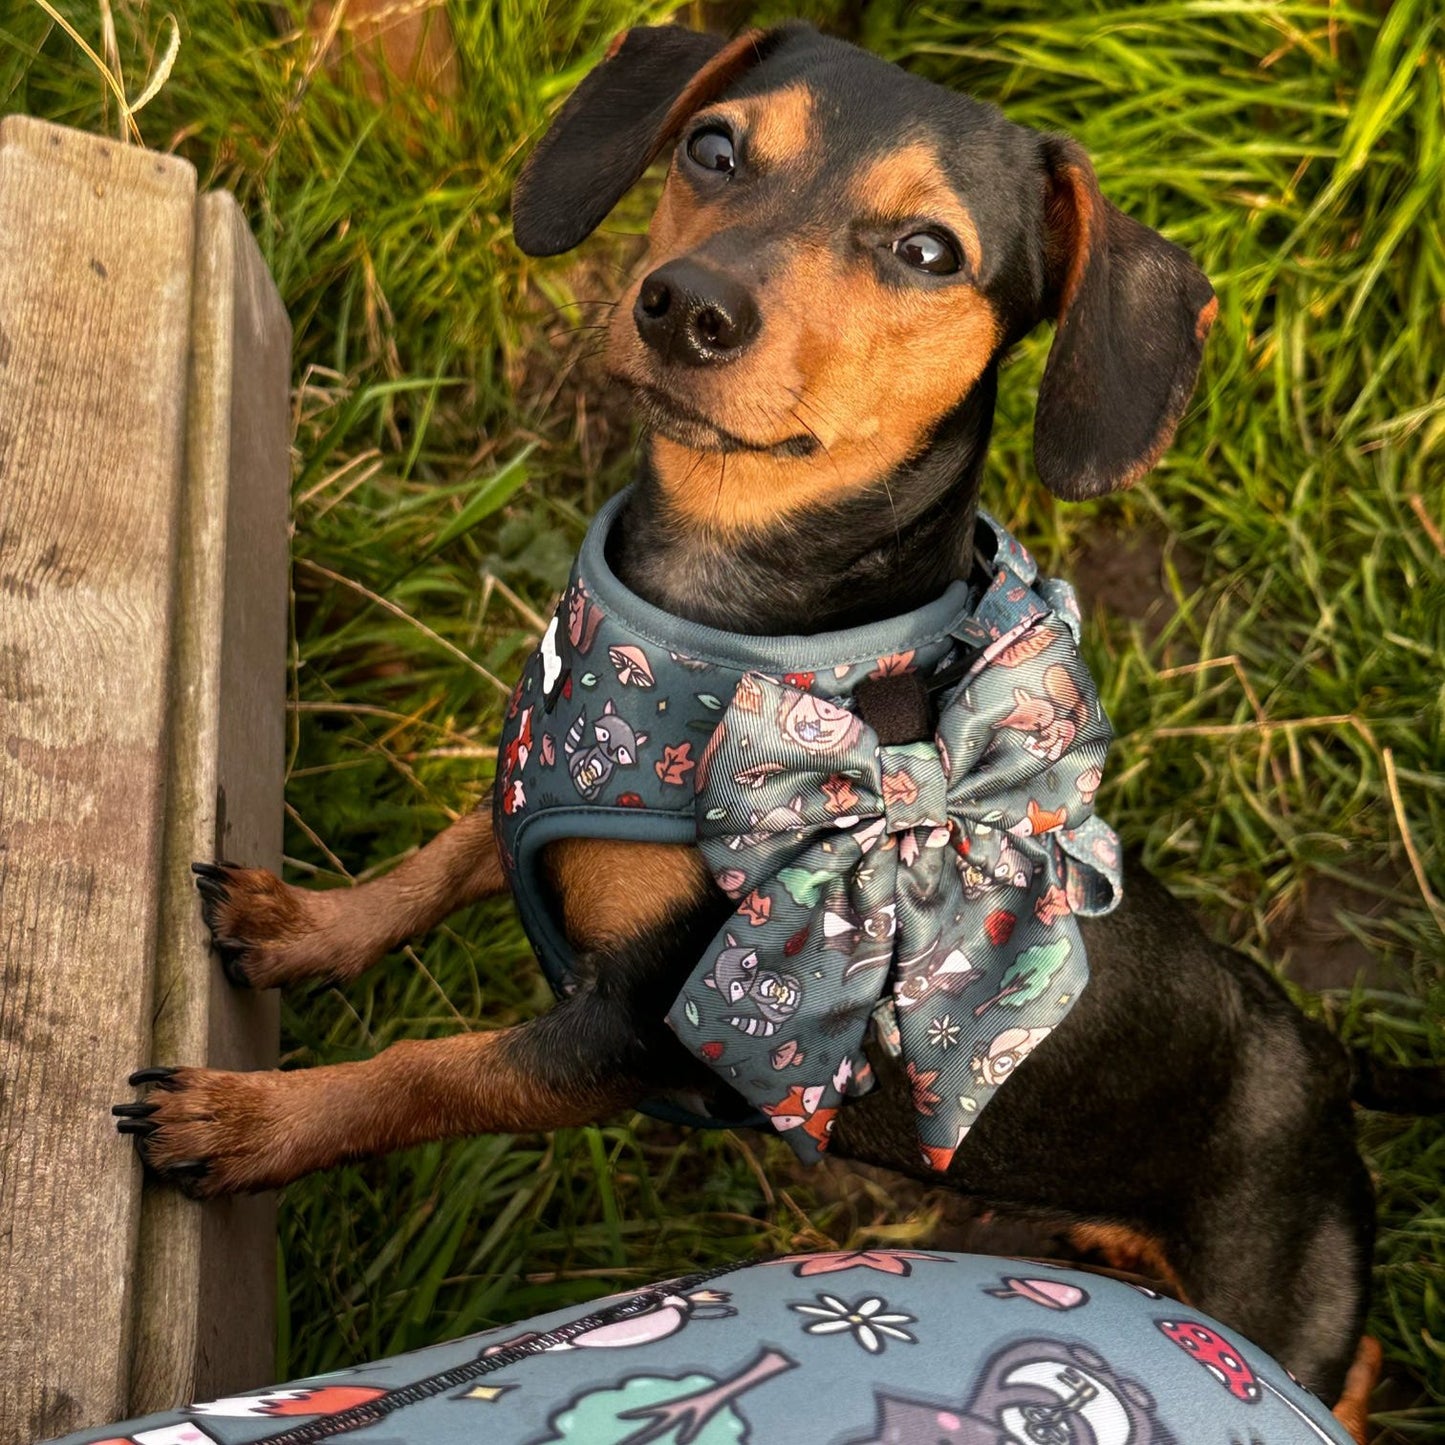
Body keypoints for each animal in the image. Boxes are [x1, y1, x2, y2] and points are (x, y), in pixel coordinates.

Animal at [112, 22, 1433, 1421]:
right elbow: (431, 865)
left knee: (1346, 1353)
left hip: (1271, 1286)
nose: (685, 304)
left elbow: (427, 1069)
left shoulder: (630, 1034)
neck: (718, 621)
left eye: (928, 251)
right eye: (712, 146)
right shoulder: (545, 782)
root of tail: (1323, 1054)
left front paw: (246, 1118)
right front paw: (298, 923)